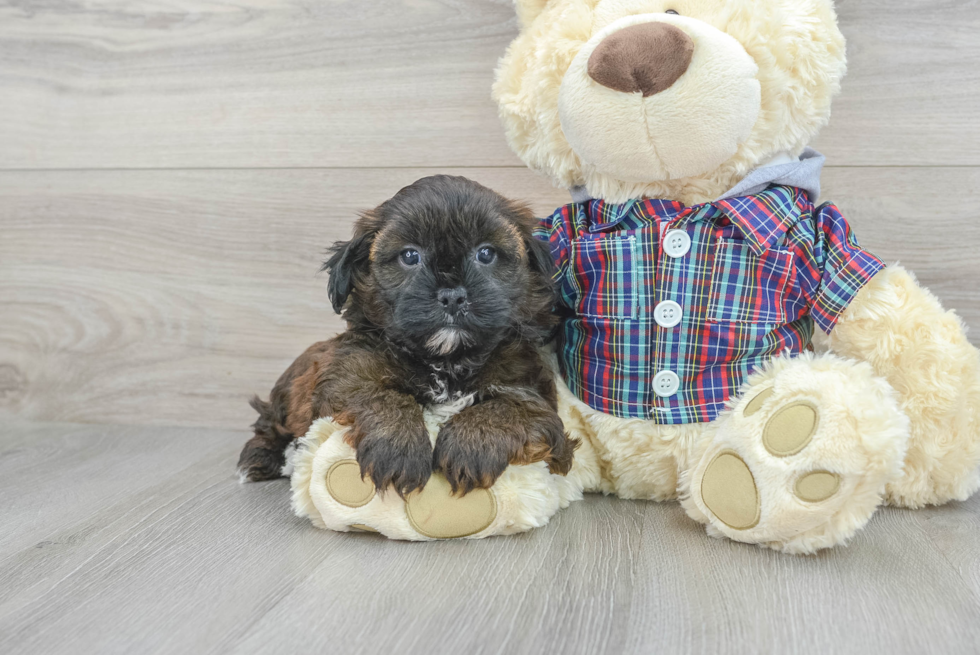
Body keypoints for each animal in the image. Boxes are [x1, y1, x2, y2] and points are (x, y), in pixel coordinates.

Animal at [237, 176, 576, 498]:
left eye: (486, 254)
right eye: (410, 256)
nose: (452, 296)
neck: (446, 362)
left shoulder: (531, 392)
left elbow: (511, 407)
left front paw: (472, 443)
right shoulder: (345, 379)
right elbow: (383, 396)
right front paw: (398, 448)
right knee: (269, 423)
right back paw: (261, 458)